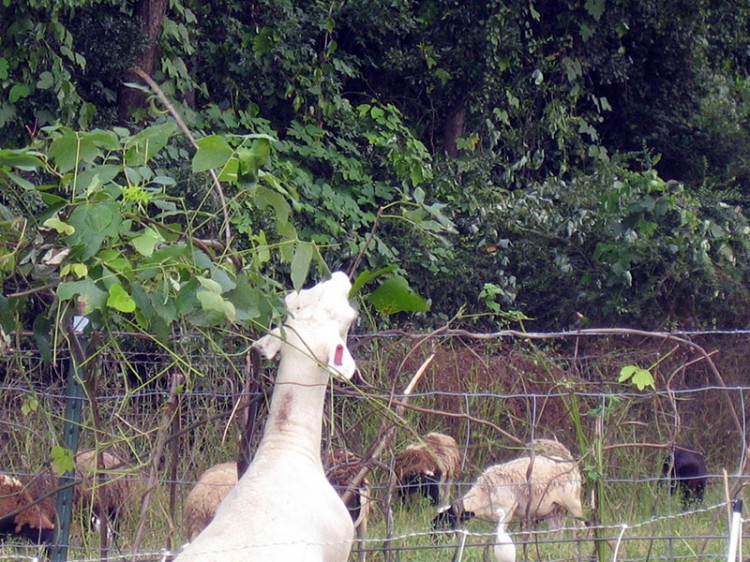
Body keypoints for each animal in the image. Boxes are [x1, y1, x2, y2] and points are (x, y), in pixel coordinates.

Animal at [434, 438, 588, 528]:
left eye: (444, 522)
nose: (435, 541)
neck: (483, 494)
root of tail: (572, 464)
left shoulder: (506, 511)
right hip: (555, 507)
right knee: (556, 528)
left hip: (573, 502)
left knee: (581, 524)